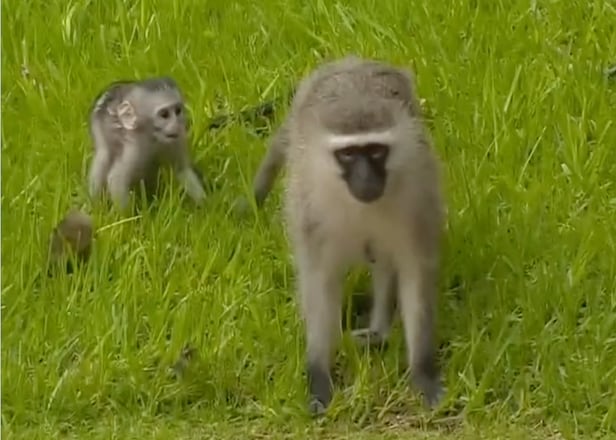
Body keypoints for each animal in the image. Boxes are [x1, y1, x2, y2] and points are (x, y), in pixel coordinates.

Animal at [88, 77, 206, 210]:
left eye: (178, 111)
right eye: (164, 115)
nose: (177, 125)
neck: (153, 138)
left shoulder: (177, 139)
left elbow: (182, 170)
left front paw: (205, 206)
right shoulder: (135, 147)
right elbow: (116, 179)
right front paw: (130, 216)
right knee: (104, 155)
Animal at [258, 55, 446, 416]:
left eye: (375, 152)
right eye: (347, 154)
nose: (365, 179)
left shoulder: (418, 194)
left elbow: (414, 272)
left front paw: (422, 370)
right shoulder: (310, 207)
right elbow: (319, 282)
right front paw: (319, 375)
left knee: (383, 258)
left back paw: (379, 331)